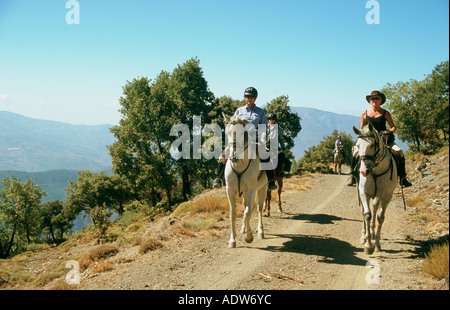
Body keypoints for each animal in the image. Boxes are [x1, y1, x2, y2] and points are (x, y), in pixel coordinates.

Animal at [224, 112, 268, 248]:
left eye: (242, 133)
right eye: (227, 132)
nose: (233, 156)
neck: (240, 165)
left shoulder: (251, 190)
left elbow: (247, 213)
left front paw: (249, 237)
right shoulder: (230, 190)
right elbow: (233, 214)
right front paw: (232, 240)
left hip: (263, 188)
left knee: (258, 208)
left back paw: (260, 231)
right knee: (248, 207)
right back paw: (243, 229)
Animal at [352, 121, 398, 254]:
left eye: (372, 145)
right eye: (358, 145)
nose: (363, 171)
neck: (376, 171)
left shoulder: (387, 196)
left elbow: (380, 217)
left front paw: (376, 244)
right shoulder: (363, 193)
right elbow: (367, 215)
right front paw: (368, 245)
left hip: (378, 196)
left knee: (375, 208)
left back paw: (372, 234)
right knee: (365, 211)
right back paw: (364, 235)